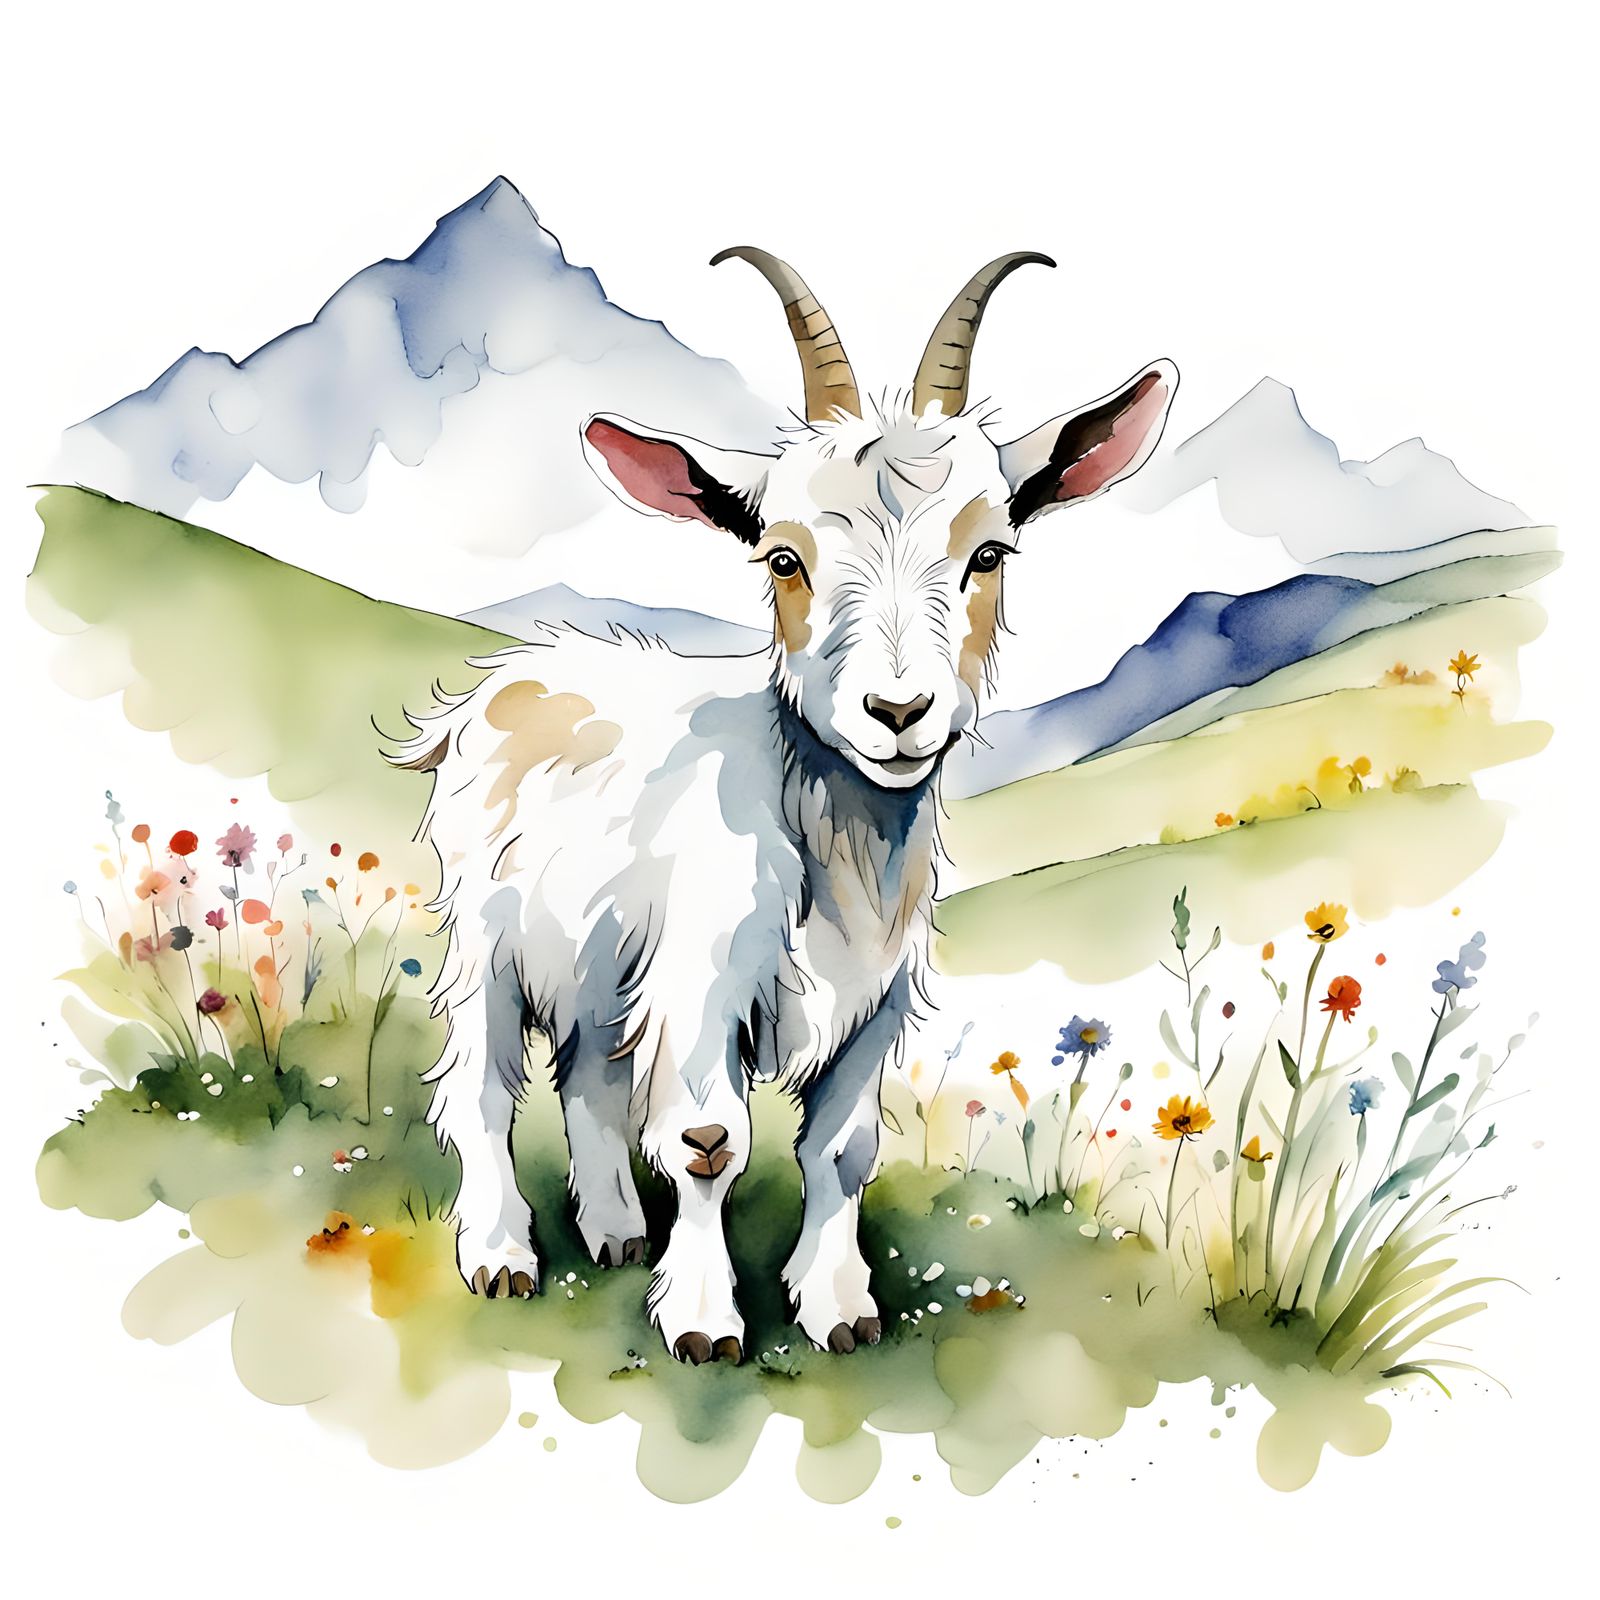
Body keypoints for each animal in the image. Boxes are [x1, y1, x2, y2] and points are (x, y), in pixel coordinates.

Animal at [390, 249, 1177, 1362]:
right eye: (783, 559)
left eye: (988, 555)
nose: (899, 713)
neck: (825, 839)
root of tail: (505, 679)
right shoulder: (700, 982)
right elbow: (706, 1144)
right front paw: (704, 1321)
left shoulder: (873, 1004)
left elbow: (843, 1149)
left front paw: (838, 1307)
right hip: (487, 941)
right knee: (483, 1091)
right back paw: (503, 1253)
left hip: (598, 960)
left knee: (588, 1077)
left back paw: (616, 1231)